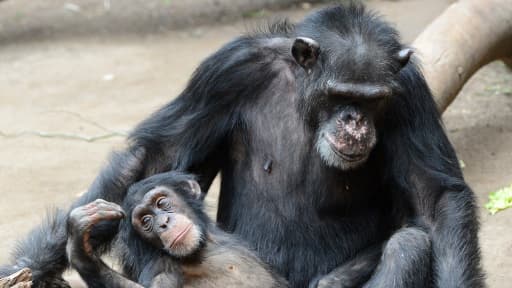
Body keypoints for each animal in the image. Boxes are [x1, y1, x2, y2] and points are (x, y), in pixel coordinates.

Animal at [0, 2, 482, 288]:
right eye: (339, 95)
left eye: (374, 100)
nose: (355, 121)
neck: (304, 96)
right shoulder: (226, 72)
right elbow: (153, 158)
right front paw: (37, 261)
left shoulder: (410, 91)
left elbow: (434, 197)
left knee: (408, 243)